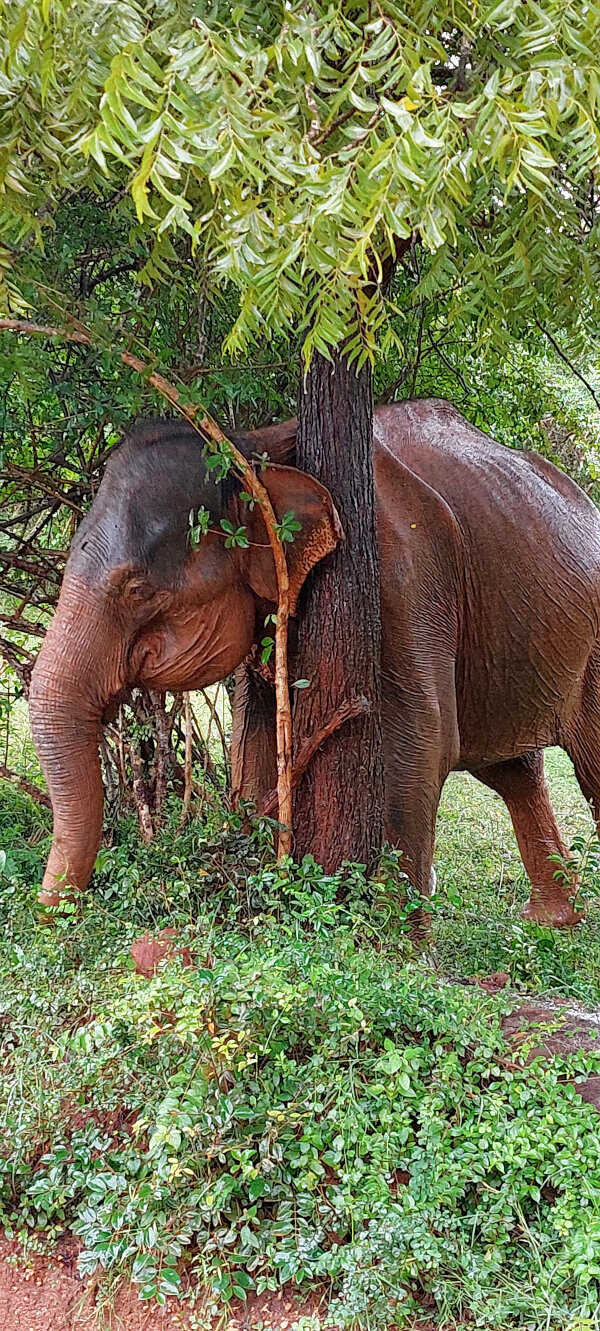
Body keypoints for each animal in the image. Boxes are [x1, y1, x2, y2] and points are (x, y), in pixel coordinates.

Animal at [29, 398, 600, 926]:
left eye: (137, 589)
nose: (53, 915)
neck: (256, 445)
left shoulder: (404, 573)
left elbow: (425, 736)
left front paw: (393, 944)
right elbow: (253, 734)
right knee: (512, 769)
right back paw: (552, 920)